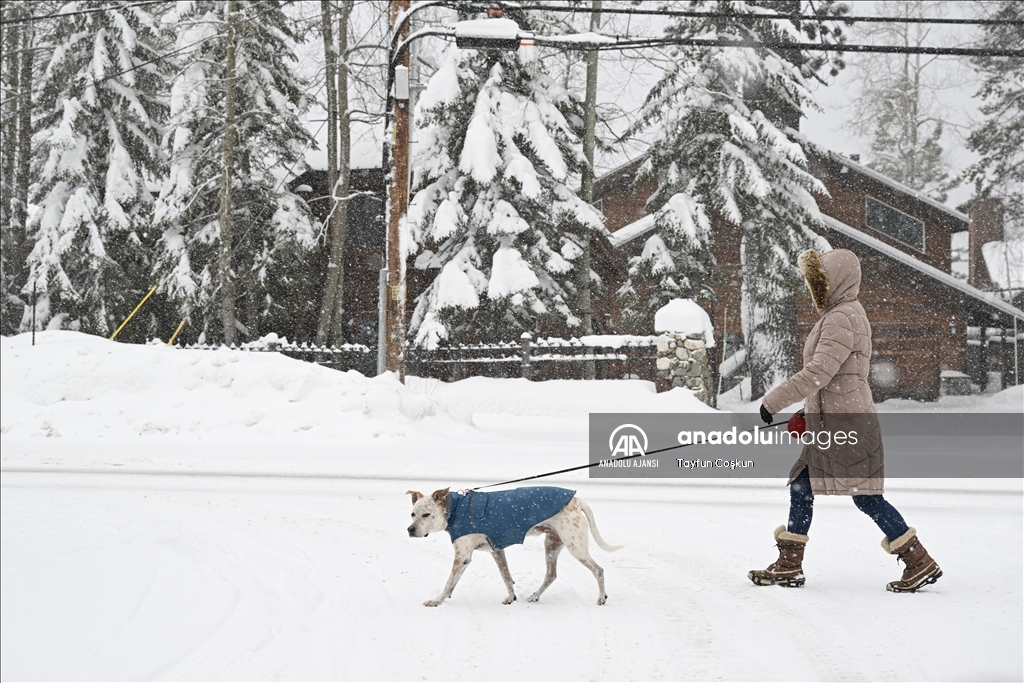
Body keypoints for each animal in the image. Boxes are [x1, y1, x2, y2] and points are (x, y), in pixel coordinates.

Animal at [403, 485, 618, 610]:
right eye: (413, 514)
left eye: (426, 515)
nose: (410, 530)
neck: (454, 508)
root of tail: (576, 500)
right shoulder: (497, 550)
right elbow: (506, 576)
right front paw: (511, 597)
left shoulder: (462, 557)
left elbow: (449, 583)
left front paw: (437, 600)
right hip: (552, 544)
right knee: (551, 575)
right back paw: (534, 595)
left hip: (575, 546)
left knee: (598, 570)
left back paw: (601, 598)